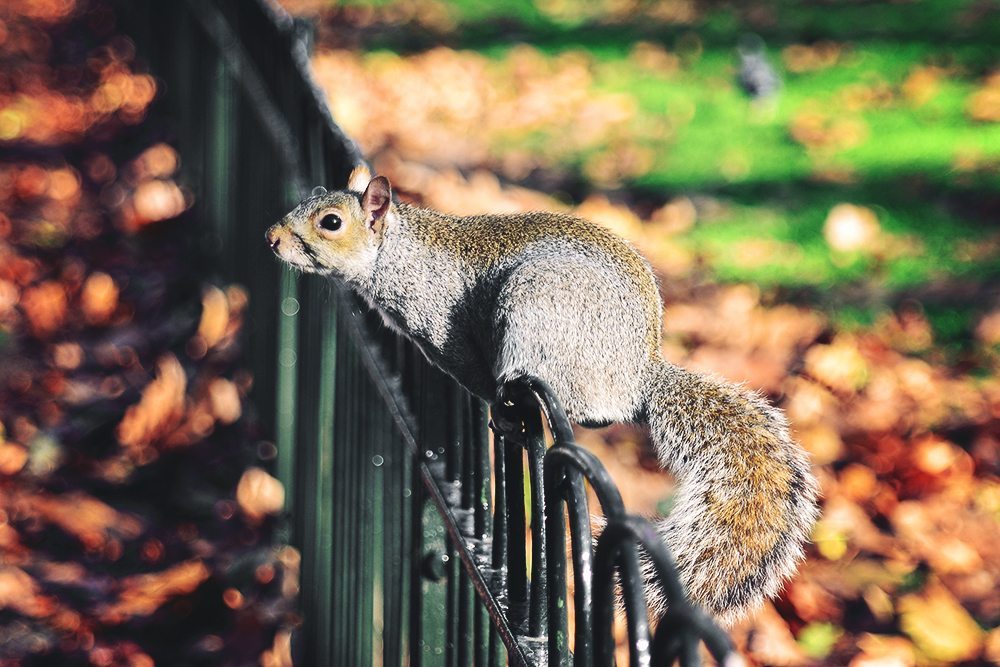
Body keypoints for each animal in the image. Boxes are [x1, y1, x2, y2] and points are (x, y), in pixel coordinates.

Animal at [266, 167, 820, 628]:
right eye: (312, 195)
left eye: (331, 222)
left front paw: (497, 409)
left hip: (536, 310)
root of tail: (636, 374)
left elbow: (475, 377)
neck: (399, 252)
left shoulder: (445, 333)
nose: (272, 238)